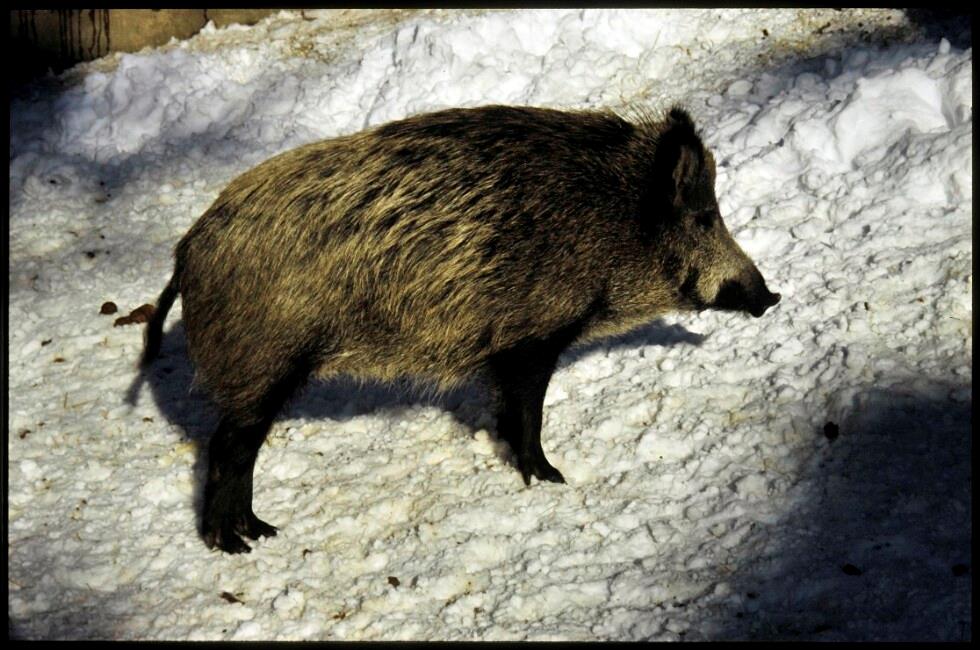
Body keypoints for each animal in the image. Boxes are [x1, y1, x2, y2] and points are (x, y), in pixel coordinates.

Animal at [142, 105, 780, 553]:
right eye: (704, 217)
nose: (770, 296)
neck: (612, 224)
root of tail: (186, 252)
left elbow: (507, 411)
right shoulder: (532, 338)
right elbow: (529, 412)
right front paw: (551, 478)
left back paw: (262, 532)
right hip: (265, 362)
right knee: (229, 447)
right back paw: (237, 544)